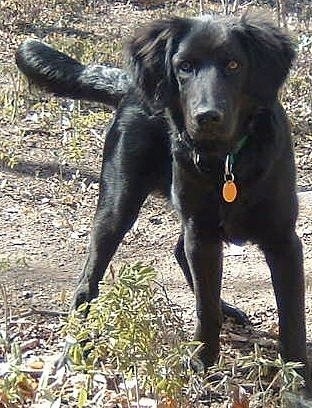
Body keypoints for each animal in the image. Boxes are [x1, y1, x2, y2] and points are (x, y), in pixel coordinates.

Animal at [16, 14, 310, 384]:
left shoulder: (282, 239)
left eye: (234, 65)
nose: (207, 117)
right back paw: (77, 344)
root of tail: (130, 85)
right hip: (119, 206)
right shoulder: (202, 233)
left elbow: (292, 317)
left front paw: (299, 377)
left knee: (180, 252)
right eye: (184, 67)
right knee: (88, 279)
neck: (227, 162)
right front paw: (203, 363)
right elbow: (204, 307)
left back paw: (226, 309)